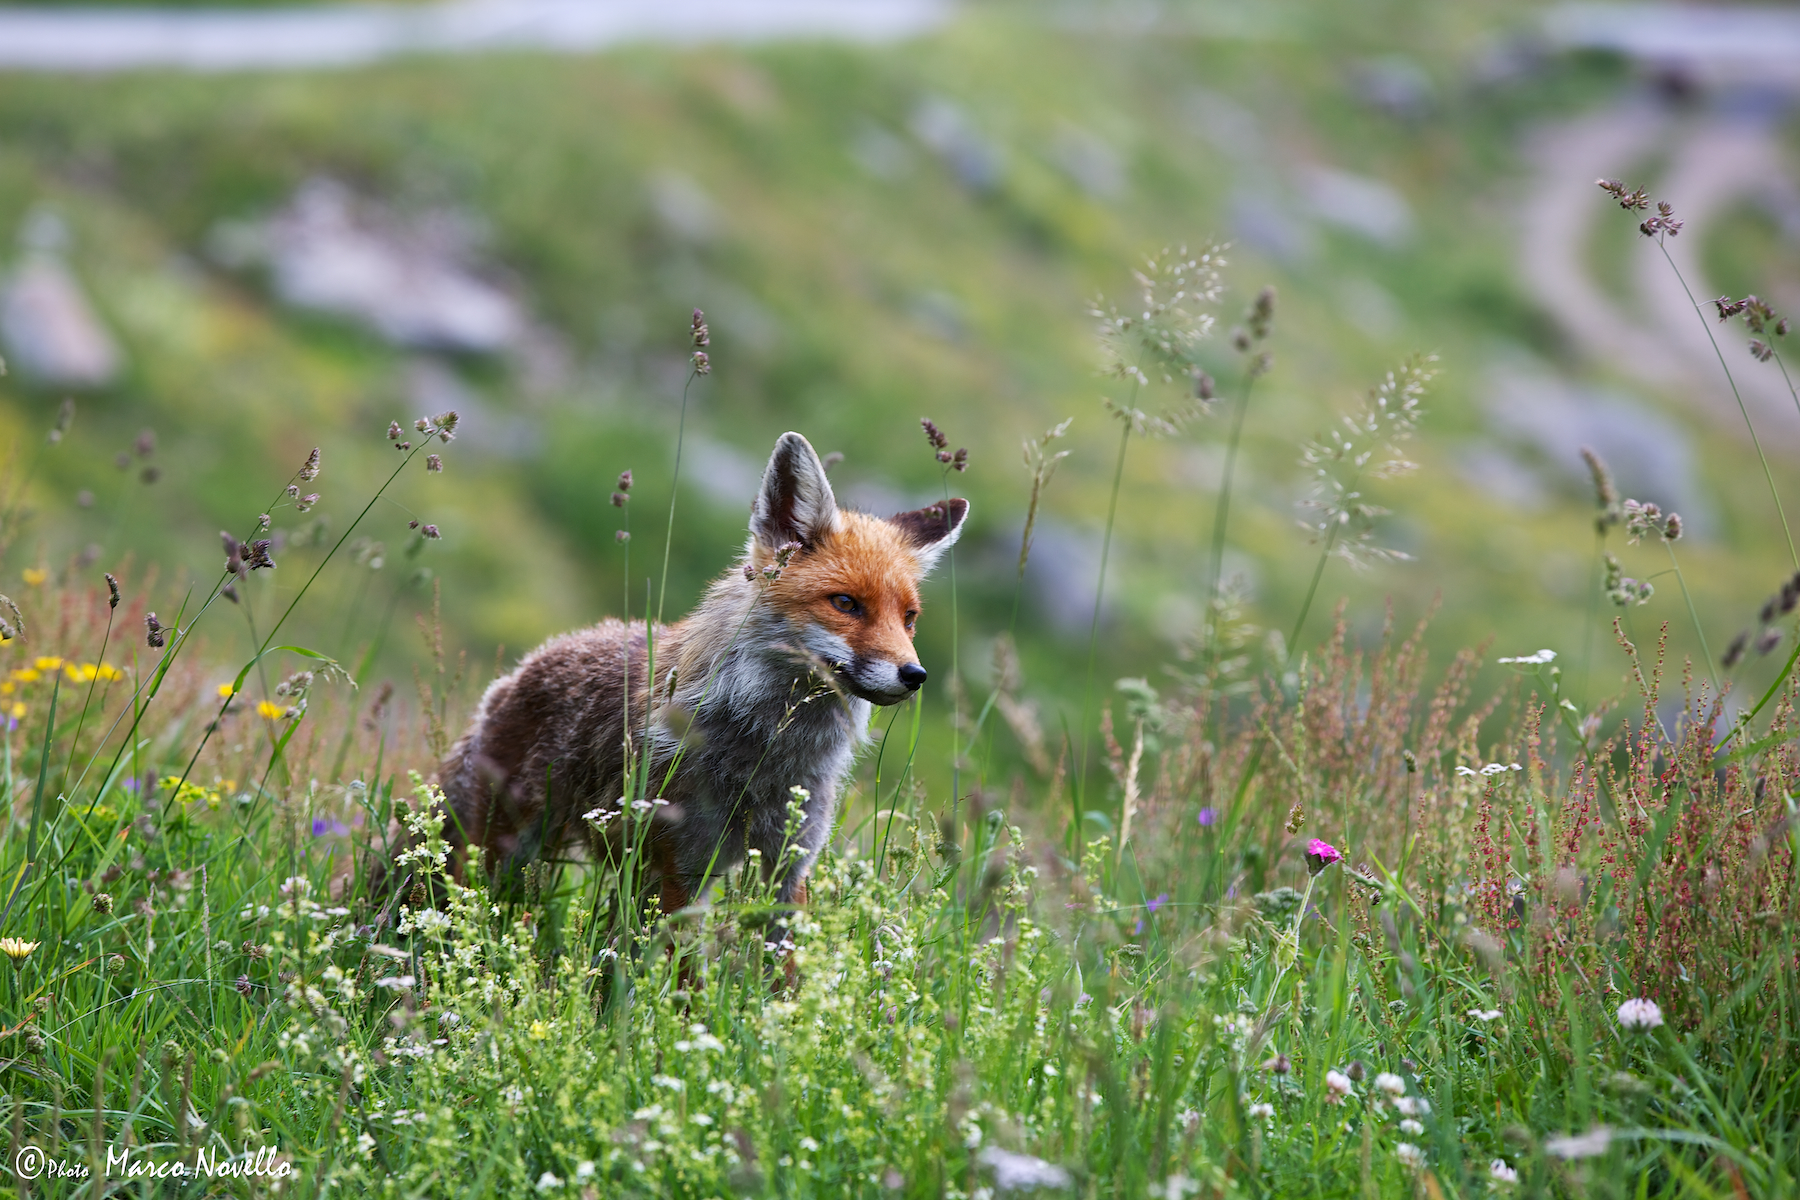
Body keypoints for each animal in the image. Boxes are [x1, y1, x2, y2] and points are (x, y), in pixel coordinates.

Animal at [428, 430, 967, 914]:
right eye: (846, 604)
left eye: (909, 618)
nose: (914, 674)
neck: (765, 750)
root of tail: (523, 668)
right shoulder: (683, 868)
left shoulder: (789, 865)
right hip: (498, 853)